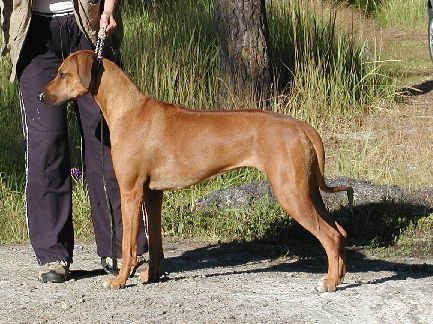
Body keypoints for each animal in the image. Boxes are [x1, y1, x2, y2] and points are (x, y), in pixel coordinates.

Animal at [39, 50, 352, 292]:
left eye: (63, 74)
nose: (41, 96)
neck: (128, 109)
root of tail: (301, 126)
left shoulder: (130, 192)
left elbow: (128, 245)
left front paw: (119, 280)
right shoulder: (152, 194)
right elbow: (155, 243)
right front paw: (151, 276)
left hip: (290, 192)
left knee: (331, 235)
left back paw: (330, 283)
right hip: (307, 190)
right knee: (339, 230)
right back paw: (339, 275)